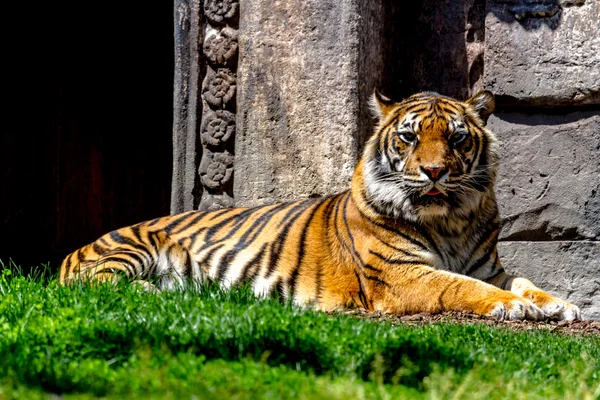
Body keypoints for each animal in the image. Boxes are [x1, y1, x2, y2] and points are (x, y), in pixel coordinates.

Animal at [58, 89, 580, 320]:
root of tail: (73, 250)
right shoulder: (400, 276)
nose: (434, 172)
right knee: (94, 285)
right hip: (133, 248)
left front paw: (560, 304)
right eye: (409, 137)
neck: (450, 220)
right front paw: (514, 307)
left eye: (455, 139)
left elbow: (524, 280)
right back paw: (152, 291)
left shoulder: (488, 266)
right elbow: (460, 287)